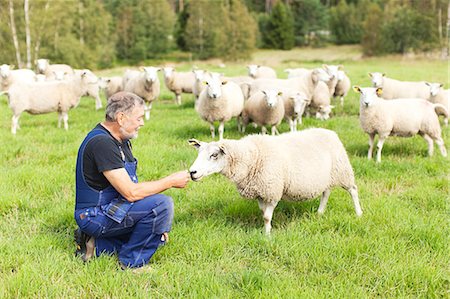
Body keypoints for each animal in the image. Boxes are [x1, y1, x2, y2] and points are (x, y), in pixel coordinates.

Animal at [188, 129, 364, 237]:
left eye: (214, 155)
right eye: (198, 153)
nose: (192, 172)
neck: (253, 157)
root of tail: (331, 132)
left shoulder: (272, 190)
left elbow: (266, 216)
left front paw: (267, 235)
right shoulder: (260, 192)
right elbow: (263, 213)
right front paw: (265, 230)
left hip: (343, 170)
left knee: (353, 190)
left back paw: (359, 213)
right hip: (326, 177)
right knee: (326, 192)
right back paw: (320, 213)